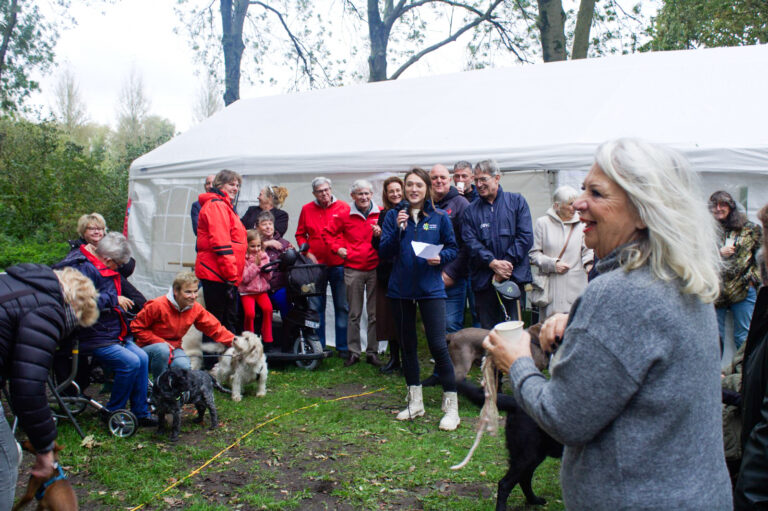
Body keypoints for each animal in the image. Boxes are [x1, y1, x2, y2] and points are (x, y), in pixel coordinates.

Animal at [456, 380, 564, 508]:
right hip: (529, 455)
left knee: (524, 479)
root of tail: (516, 402)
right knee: (505, 484)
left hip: (534, 454)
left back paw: (534, 500)